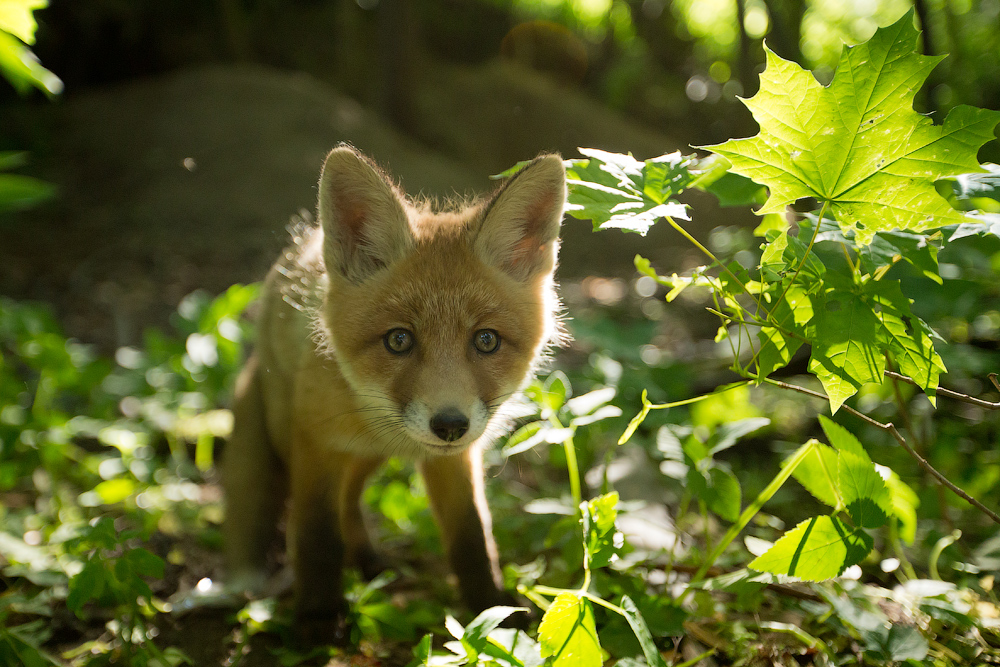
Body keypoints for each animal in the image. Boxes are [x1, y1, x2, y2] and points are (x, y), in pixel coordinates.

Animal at [224, 145, 568, 640]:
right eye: (399, 340)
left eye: (486, 341)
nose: (450, 425)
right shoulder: (316, 442)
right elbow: (315, 536)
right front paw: (316, 621)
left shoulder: (456, 460)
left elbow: (472, 538)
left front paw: (493, 612)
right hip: (286, 439)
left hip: (363, 461)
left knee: (350, 504)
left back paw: (368, 562)